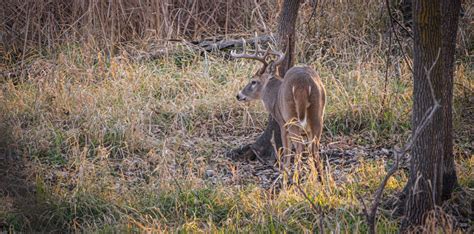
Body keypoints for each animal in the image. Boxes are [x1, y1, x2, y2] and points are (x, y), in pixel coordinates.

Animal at [231, 40, 326, 172]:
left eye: (253, 81)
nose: (238, 95)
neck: (274, 95)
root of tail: (303, 83)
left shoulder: (281, 121)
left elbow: (286, 147)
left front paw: (285, 167)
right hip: (318, 113)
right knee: (314, 147)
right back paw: (318, 175)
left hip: (291, 115)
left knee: (300, 145)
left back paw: (295, 173)